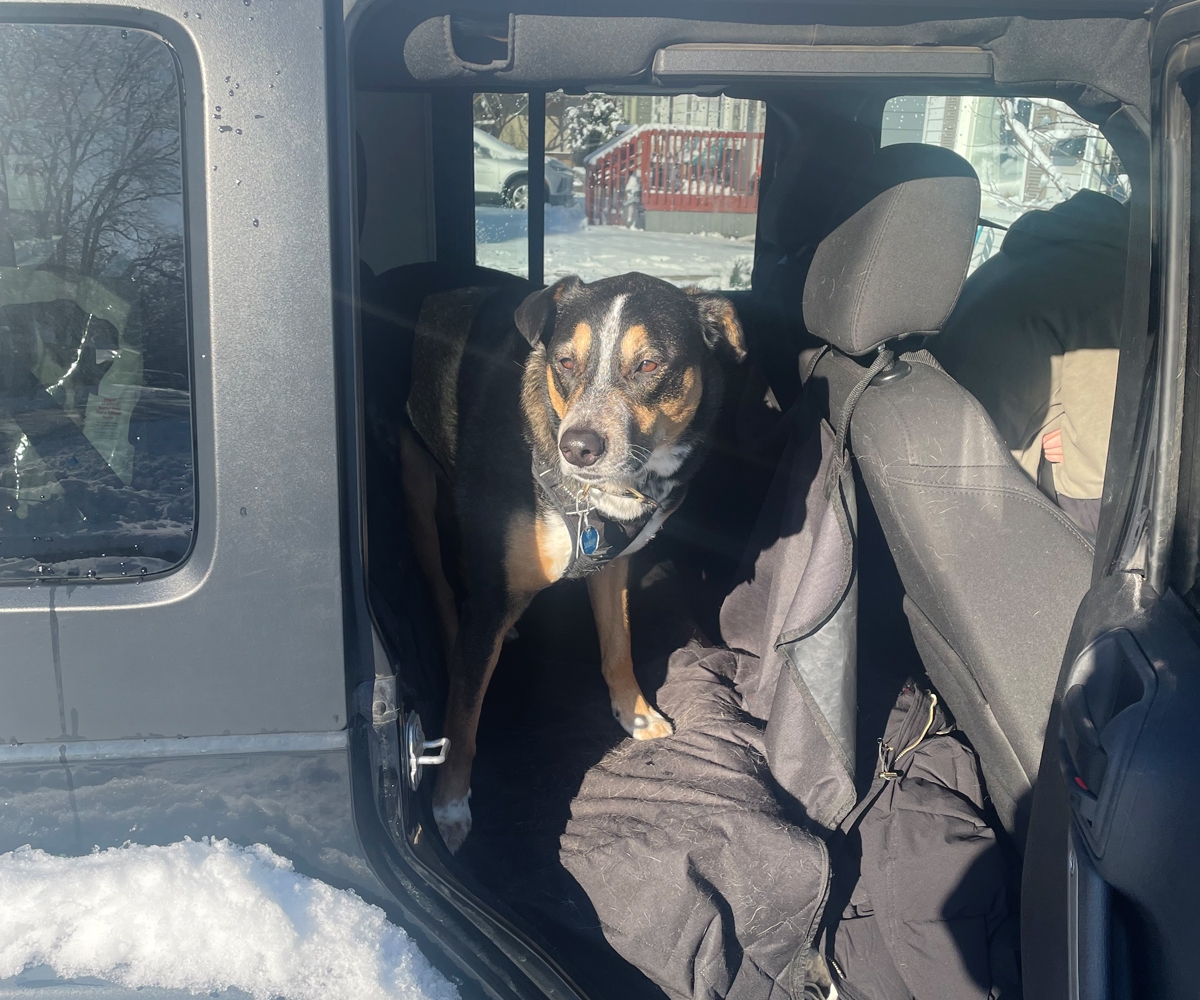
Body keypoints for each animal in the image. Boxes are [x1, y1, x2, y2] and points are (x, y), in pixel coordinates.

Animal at [398, 271, 744, 849]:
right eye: (564, 362)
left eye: (649, 365)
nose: (578, 446)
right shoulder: (488, 599)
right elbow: (464, 720)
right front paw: (449, 805)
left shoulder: (611, 560)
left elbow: (618, 643)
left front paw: (636, 714)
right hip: (417, 483)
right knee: (444, 587)